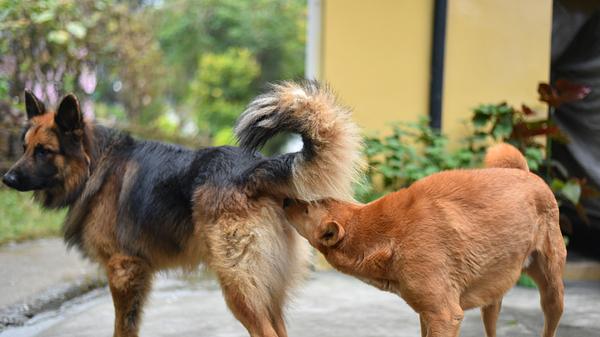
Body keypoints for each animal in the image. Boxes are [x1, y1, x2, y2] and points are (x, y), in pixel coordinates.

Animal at [3, 82, 360, 336]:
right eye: (24, 147)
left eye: (44, 151)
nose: (6, 178)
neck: (96, 165)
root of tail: (254, 168)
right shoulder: (138, 275)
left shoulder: (123, 270)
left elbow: (122, 328)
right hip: (266, 289)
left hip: (239, 287)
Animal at [284, 143, 564, 336]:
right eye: (313, 200)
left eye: (307, 209)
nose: (286, 199)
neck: (387, 236)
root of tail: (528, 174)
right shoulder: (427, 314)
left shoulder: (444, 315)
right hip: (492, 300)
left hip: (552, 293)